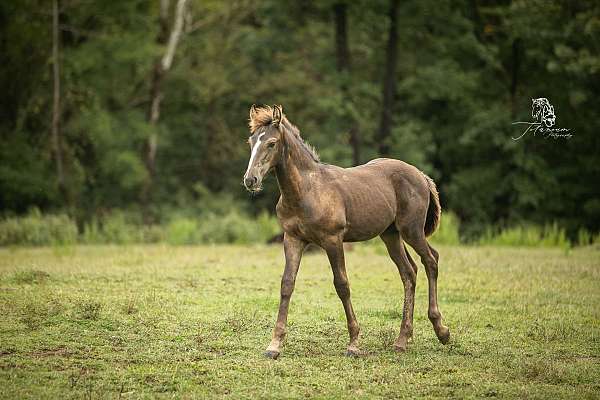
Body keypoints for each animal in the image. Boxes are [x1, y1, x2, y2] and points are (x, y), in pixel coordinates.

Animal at [241, 104, 448, 358]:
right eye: (251, 142)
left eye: (271, 143)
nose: (250, 180)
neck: (306, 191)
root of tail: (421, 175)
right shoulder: (292, 239)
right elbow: (287, 284)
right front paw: (274, 344)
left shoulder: (333, 240)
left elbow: (342, 285)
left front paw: (354, 342)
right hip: (390, 235)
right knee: (409, 271)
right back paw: (402, 339)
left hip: (412, 230)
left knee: (431, 260)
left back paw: (441, 330)